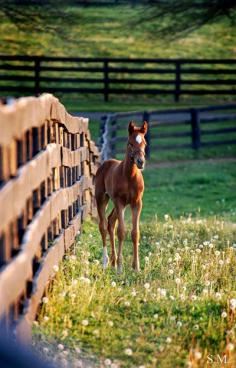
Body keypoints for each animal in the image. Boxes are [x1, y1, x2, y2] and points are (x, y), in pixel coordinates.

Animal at [94, 121, 148, 274]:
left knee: (111, 221)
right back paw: (106, 262)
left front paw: (136, 268)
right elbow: (122, 232)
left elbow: (135, 233)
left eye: (145, 143)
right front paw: (120, 268)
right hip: (102, 199)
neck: (129, 177)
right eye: (130, 143)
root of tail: (106, 163)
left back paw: (112, 262)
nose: (140, 162)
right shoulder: (119, 202)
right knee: (103, 226)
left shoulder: (137, 203)